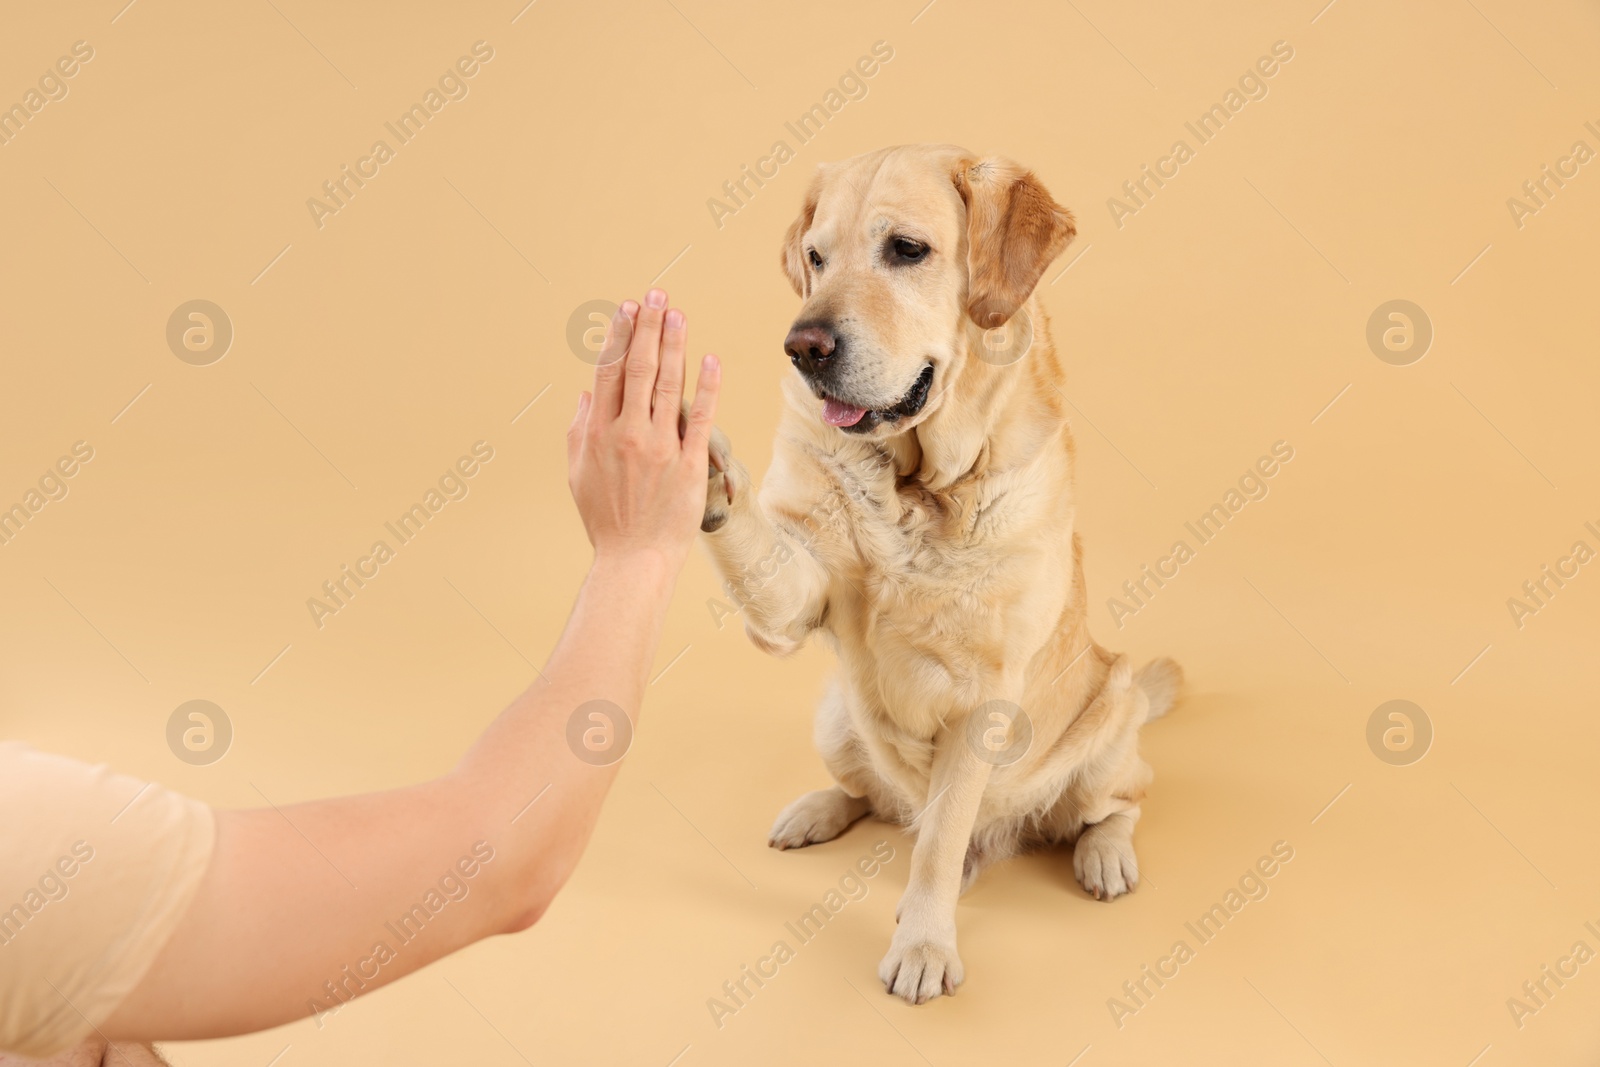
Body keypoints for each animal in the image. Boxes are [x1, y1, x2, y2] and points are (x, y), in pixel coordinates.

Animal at [700, 146, 1177, 1004]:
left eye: (906, 250)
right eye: (815, 257)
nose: (803, 346)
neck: (919, 489)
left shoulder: (983, 703)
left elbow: (939, 842)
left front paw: (922, 941)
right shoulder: (794, 598)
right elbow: (760, 549)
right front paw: (696, 461)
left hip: (1109, 721)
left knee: (1117, 799)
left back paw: (1103, 854)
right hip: (835, 718)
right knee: (872, 794)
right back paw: (816, 810)